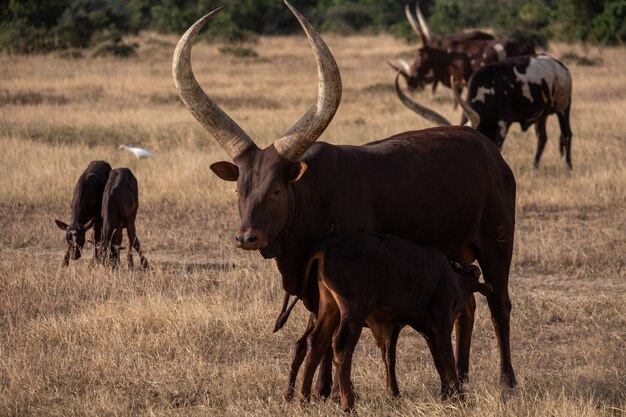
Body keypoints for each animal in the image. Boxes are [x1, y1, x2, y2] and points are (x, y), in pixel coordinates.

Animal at [300, 232, 490, 412]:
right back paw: (348, 405)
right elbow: (448, 357)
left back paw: (303, 400)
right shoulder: (442, 321)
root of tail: (329, 247)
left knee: (315, 344)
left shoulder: (429, 331)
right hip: (353, 313)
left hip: (329, 308)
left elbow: (439, 361)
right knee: (341, 348)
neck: (451, 276)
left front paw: (446, 395)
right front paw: (460, 397)